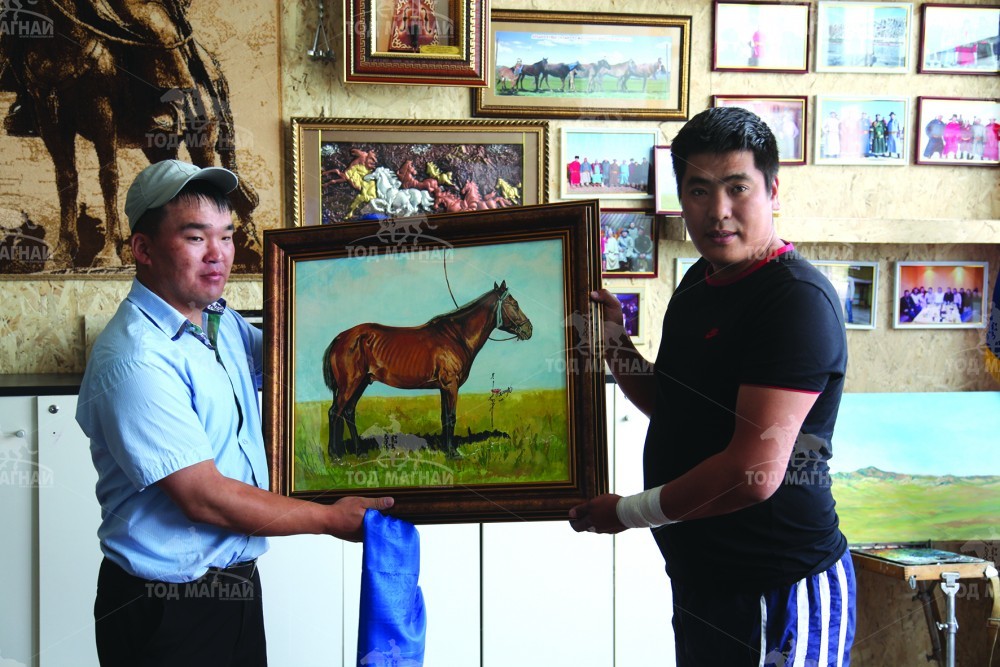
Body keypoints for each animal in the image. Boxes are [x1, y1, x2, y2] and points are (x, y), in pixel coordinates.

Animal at [0, 0, 260, 270]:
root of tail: (212, 65)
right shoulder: (48, 116)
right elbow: (66, 179)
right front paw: (62, 253)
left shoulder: (101, 109)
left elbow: (108, 176)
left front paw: (108, 252)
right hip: (157, 143)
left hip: (202, 134)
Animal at [323, 281, 533, 459]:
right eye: (514, 304)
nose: (529, 330)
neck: (456, 336)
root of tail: (340, 338)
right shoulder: (451, 384)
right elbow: (451, 417)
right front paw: (453, 454)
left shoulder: (443, 387)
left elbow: (444, 417)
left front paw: (446, 450)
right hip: (350, 384)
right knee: (334, 412)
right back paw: (335, 456)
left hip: (362, 383)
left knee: (348, 412)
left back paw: (359, 452)